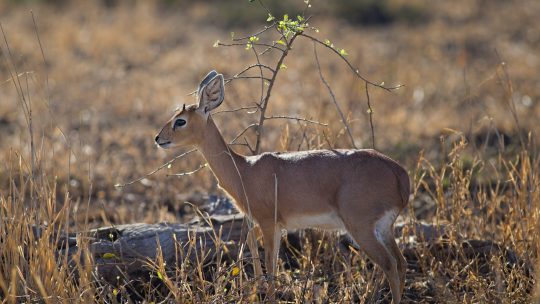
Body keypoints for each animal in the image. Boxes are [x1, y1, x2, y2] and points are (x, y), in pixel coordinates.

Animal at [155, 70, 410, 302]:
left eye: (180, 120)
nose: (158, 138)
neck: (244, 171)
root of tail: (399, 173)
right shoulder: (275, 226)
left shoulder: (269, 223)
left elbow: (271, 268)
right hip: (384, 228)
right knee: (401, 262)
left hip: (361, 227)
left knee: (389, 265)